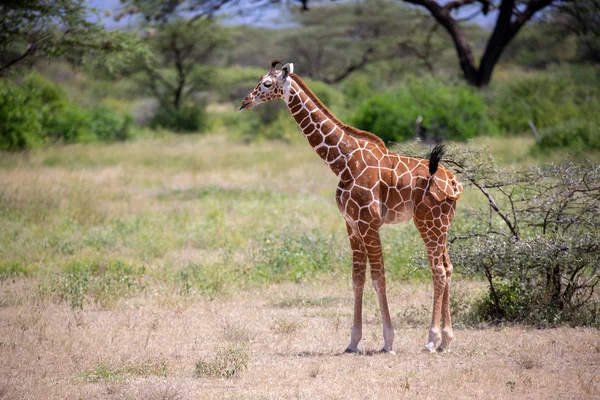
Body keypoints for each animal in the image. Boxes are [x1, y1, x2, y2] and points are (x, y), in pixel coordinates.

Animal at [240, 60, 464, 354]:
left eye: (267, 83)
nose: (245, 102)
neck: (342, 160)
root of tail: (455, 182)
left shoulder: (369, 223)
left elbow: (379, 277)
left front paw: (388, 342)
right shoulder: (351, 224)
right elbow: (358, 279)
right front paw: (353, 341)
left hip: (428, 221)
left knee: (437, 271)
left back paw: (431, 339)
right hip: (443, 224)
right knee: (448, 268)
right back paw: (446, 339)